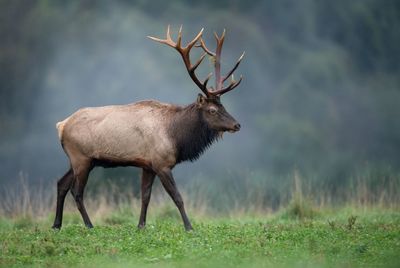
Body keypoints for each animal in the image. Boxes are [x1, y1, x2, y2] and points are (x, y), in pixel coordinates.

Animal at [51, 25, 245, 230]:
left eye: (224, 106)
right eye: (212, 110)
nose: (237, 124)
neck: (176, 137)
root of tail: (61, 125)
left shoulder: (148, 165)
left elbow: (145, 196)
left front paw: (141, 225)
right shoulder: (162, 163)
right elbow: (177, 197)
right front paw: (189, 227)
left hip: (79, 160)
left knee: (61, 184)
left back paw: (56, 224)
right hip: (81, 158)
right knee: (77, 191)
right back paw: (89, 225)